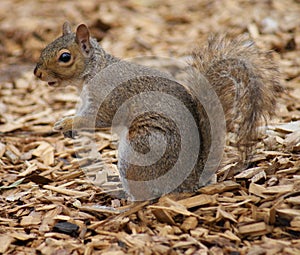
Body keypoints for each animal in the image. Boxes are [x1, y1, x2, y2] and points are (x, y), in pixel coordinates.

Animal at [34, 21, 282, 200]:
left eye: (65, 57)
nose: (37, 73)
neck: (93, 72)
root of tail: (190, 180)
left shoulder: (108, 97)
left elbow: (99, 118)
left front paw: (66, 123)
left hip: (141, 150)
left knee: (146, 195)